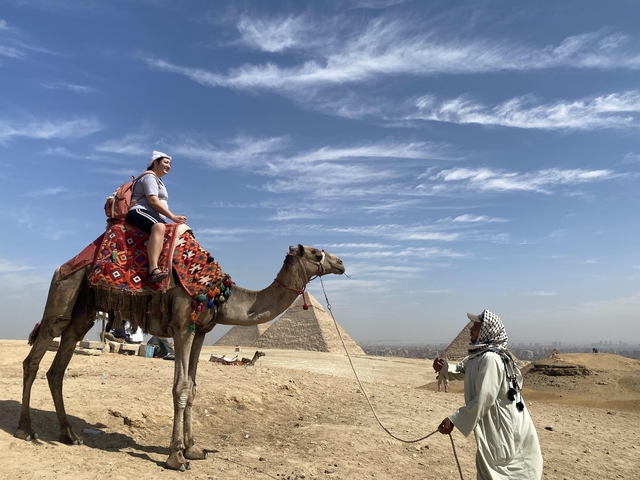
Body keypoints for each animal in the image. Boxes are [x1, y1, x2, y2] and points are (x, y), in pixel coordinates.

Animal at [16, 243, 344, 471]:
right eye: (316, 253)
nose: (340, 263)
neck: (220, 296)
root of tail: (63, 266)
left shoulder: (199, 332)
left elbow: (193, 388)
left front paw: (193, 449)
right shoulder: (182, 326)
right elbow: (181, 388)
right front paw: (175, 457)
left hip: (83, 312)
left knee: (58, 366)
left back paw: (69, 435)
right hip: (63, 293)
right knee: (35, 356)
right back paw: (25, 429)